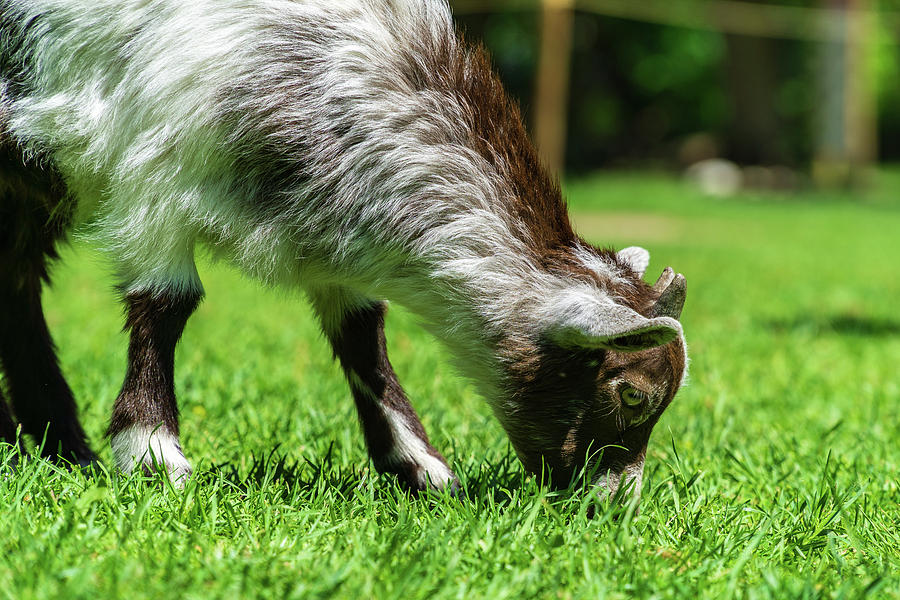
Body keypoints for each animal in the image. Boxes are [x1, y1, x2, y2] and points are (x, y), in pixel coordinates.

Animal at [1, 0, 688, 500]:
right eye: (632, 395)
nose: (615, 505)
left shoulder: (328, 222)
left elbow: (362, 333)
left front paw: (421, 468)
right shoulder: (154, 177)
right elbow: (166, 304)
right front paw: (151, 455)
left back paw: (53, 445)